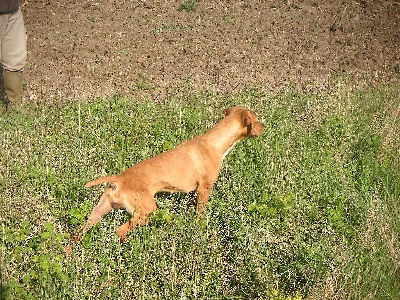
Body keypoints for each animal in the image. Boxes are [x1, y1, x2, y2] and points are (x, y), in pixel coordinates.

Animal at [64, 106, 264, 254]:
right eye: (256, 120)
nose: (265, 127)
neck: (214, 142)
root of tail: (118, 179)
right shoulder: (204, 188)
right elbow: (200, 214)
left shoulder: (193, 193)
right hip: (146, 211)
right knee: (120, 230)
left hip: (97, 212)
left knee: (76, 235)